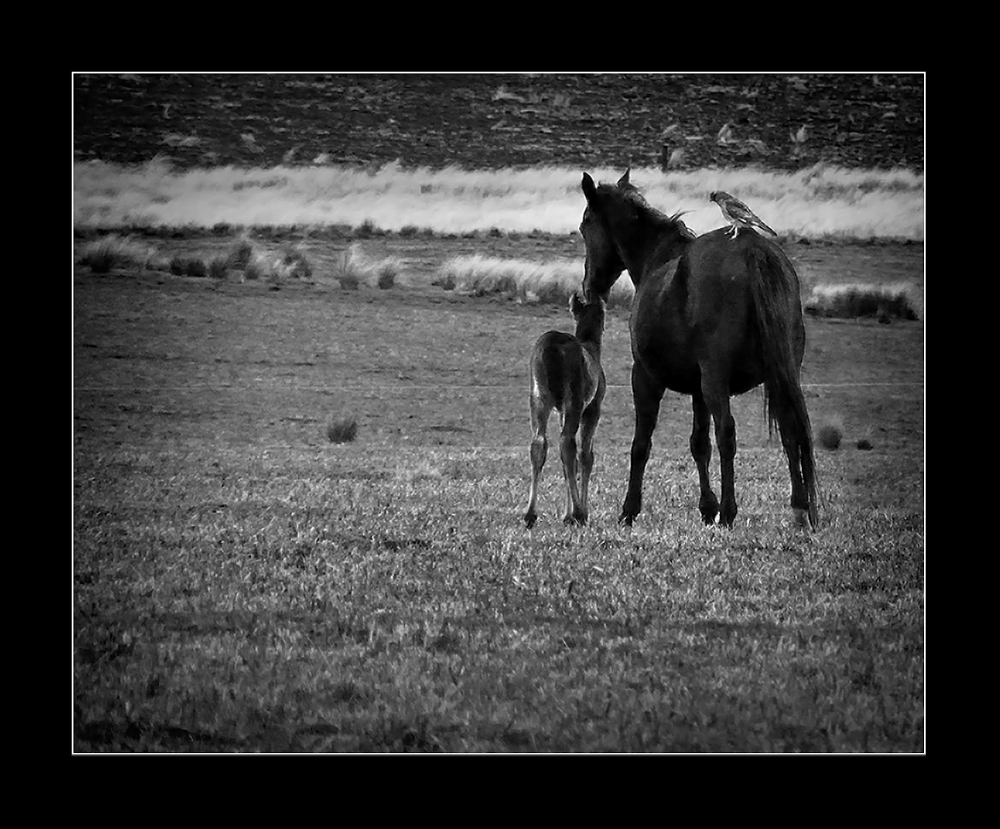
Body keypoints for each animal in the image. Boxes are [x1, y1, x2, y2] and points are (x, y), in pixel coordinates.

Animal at [528, 292, 604, 524]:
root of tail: (551, 348)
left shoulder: (560, 410)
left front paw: (566, 512)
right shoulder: (593, 407)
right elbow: (586, 455)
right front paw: (577, 512)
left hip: (539, 395)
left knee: (539, 442)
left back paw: (530, 514)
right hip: (574, 398)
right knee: (567, 443)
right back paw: (579, 514)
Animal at [584, 171, 816, 528]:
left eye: (585, 225)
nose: (589, 287)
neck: (658, 257)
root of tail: (753, 249)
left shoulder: (646, 378)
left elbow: (642, 444)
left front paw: (630, 509)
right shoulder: (698, 390)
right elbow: (699, 444)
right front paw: (707, 508)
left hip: (716, 379)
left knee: (727, 433)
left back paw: (730, 512)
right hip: (781, 373)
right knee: (791, 428)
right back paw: (800, 510)